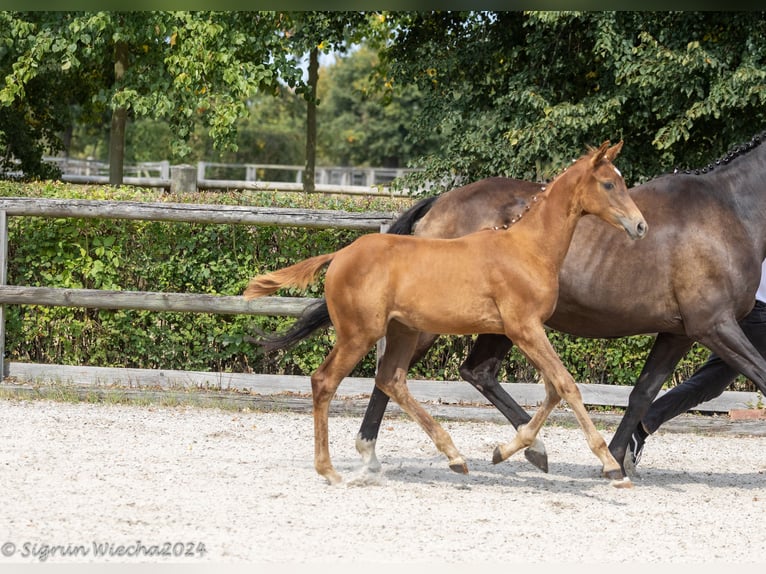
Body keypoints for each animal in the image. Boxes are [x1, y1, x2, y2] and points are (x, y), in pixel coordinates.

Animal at [256, 130, 766, 476]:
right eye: (609, 185)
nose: (639, 228)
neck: (731, 211)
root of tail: (440, 202)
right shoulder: (713, 325)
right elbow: (760, 375)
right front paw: (610, 460)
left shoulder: (680, 330)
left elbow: (643, 392)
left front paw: (617, 459)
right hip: (439, 323)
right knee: (393, 373)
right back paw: (377, 451)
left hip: (487, 325)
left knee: (463, 372)